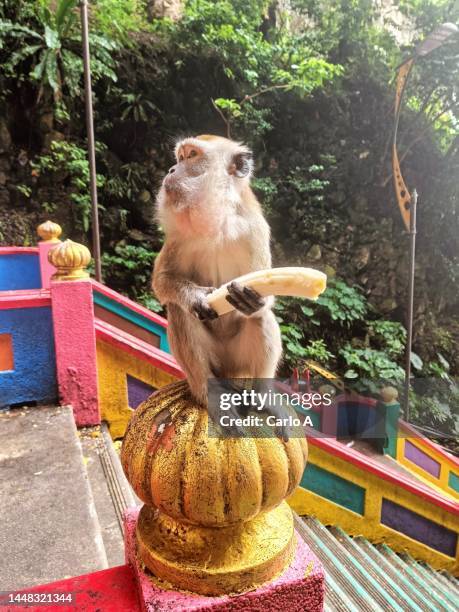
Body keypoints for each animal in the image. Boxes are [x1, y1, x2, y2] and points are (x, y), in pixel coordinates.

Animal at [153, 133, 286, 430]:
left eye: (192, 156)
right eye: (180, 157)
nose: (171, 169)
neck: (218, 221)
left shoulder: (256, 229)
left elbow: (265, 297)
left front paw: (252, 299)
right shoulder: (178, 235)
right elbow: (162, 280)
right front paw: (195, 297)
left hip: (237, 361)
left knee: (260, 317)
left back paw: (262, 395)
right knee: (180, 311)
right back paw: (211, 392)